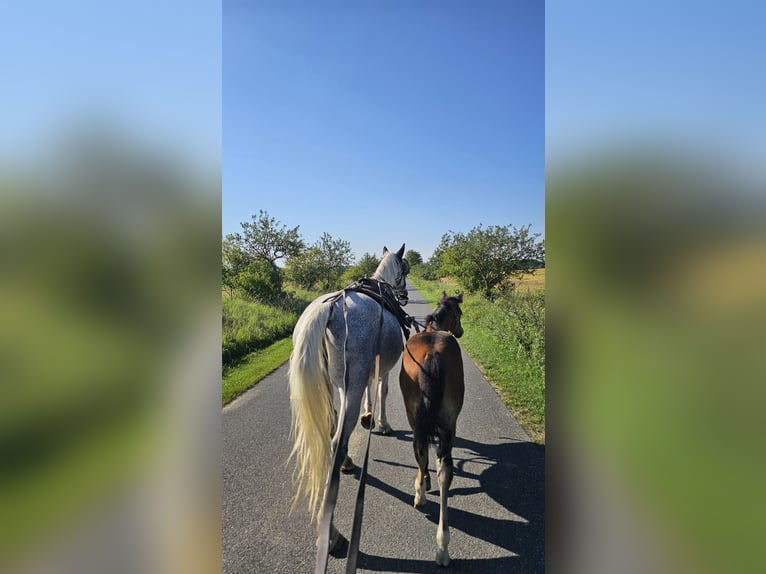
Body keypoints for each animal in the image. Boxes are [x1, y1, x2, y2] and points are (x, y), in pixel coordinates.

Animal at [288, 244, 411, 557]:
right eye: (405, 269)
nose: (404, 295)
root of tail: (329, 308)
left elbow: (370, 392)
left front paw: (368, 417)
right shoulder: (384, 369)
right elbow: (382, 391)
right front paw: (382, 423)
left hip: (333, 384)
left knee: (335, 429)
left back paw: (347, 461)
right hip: (348, 385)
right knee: (336, 441)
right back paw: (331, 535)